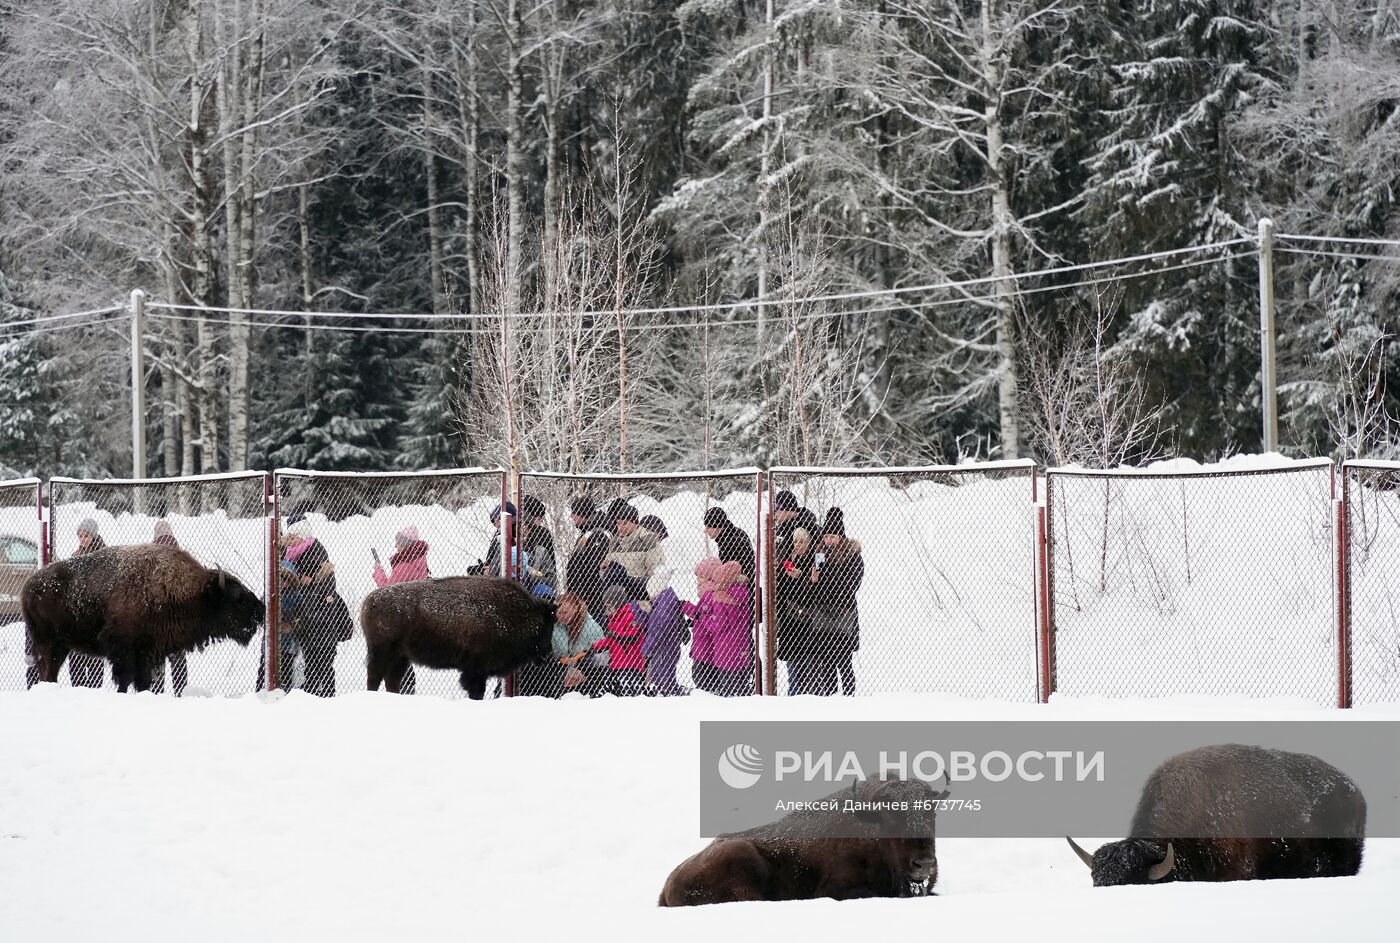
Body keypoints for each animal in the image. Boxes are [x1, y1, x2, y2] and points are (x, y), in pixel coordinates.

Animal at [23, 542, 263, 691]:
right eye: (238, 597)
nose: (260, 611)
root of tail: (28, 586)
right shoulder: (124, 650)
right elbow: (125, 680)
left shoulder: (148, 652)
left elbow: (143, 682)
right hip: (48, 643)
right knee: (46, 670)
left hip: (61, 645)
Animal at [358, 568, 554, 693]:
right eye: (545, 627)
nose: (548, 654)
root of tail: (369, 600)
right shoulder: (475, 671)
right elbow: (477, 691)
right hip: (382, 652)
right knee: (374, 676)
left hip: (401, 657)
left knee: (391, 680)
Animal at [658, 772, 946, 906]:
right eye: (891, 817)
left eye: (931, 812)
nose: (923, 864)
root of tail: (667, 886)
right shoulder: (836, 890)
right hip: (739, 856)